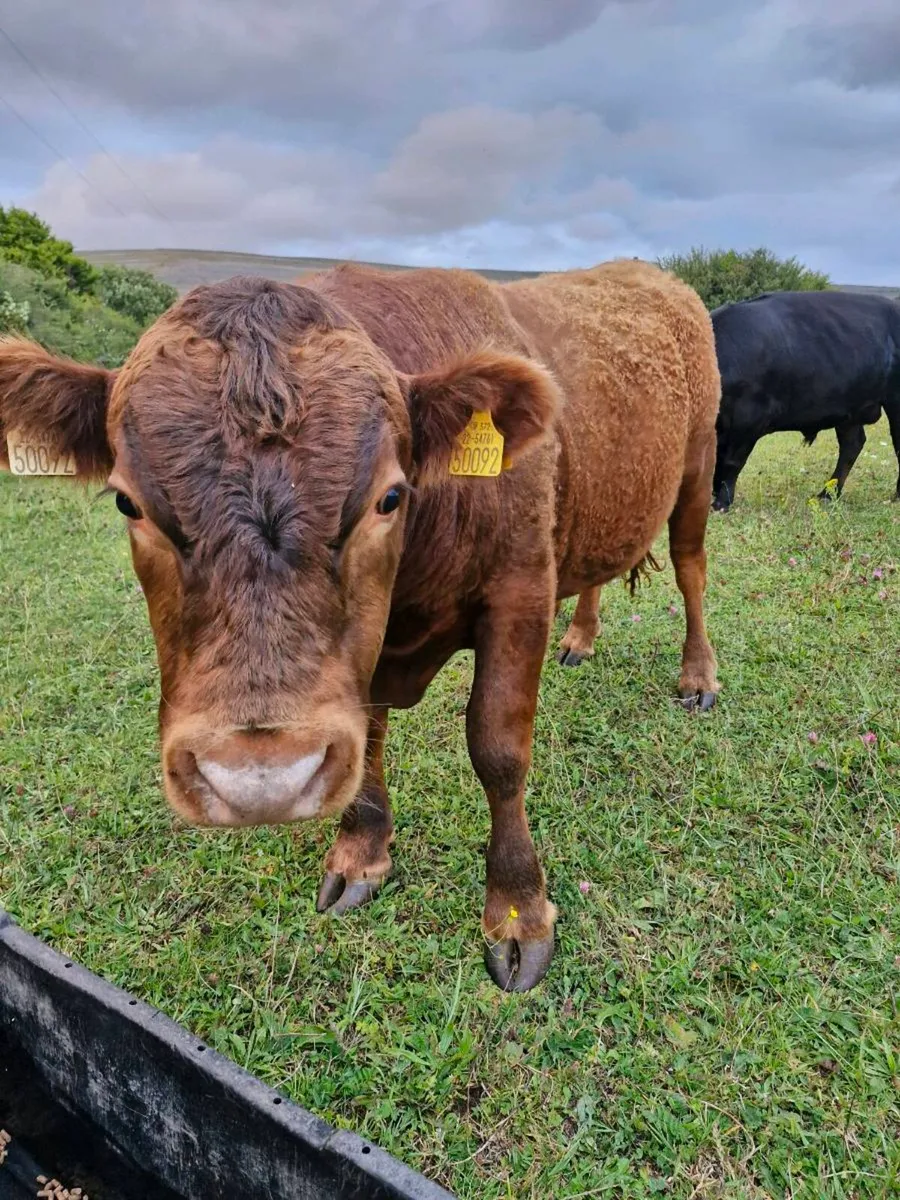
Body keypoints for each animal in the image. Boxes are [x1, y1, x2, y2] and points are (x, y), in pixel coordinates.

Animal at [0, 259, 721, 991]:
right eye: (128, 503)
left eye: (390, 497)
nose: (263, 778)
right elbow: (369, 734)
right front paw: (361, 850)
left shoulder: (520, 589)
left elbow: (498, 750)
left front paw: (518, 912)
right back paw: (582, 637)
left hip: (698, 466)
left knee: (691, 569)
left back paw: (697, 676)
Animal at [711, 289, 900, 511]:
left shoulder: (748, 420)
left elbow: (731, 462)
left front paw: (721, 502)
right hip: (849, 408)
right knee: (852, 444)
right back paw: (827, 495)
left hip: (895, 401)